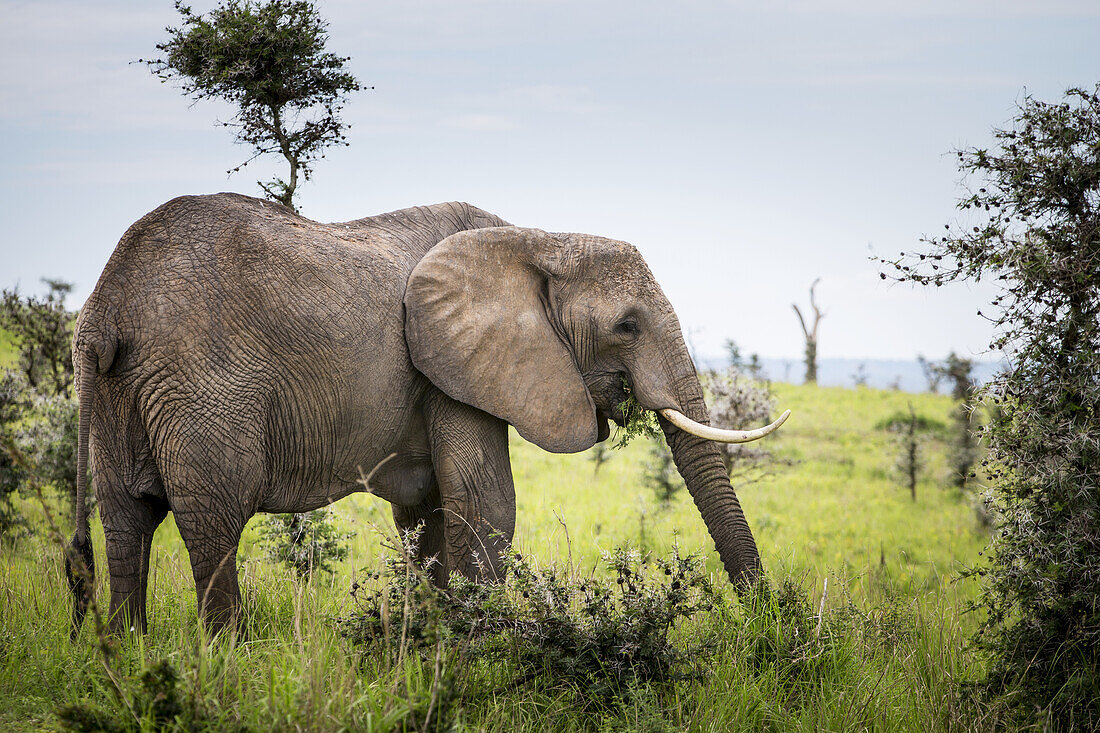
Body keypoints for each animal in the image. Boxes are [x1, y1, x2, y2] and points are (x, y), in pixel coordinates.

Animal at [64, 192, 787, 633]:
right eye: (627, 326)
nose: (763, 622)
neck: (535, 237)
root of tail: (105, 309)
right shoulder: (448, 366)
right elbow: (486, 502)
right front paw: (484, 645)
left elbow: (430, 512)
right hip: (200, 384)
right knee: (212, 520)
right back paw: (227, 661)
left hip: (119, 390)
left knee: (127, 520)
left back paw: (127, 655)